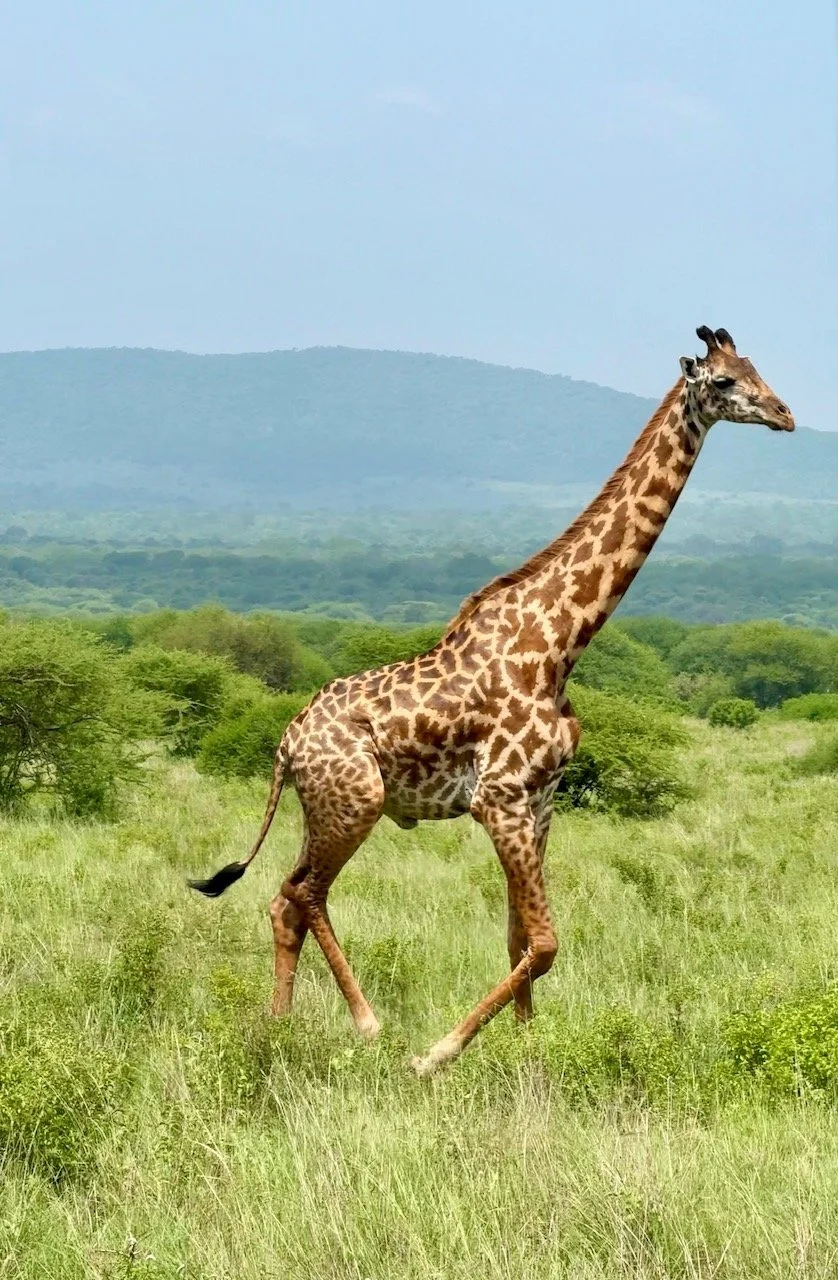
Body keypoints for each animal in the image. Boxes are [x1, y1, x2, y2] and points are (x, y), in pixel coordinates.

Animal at [190, 326, 794, 1074]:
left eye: (756, 367)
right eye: (723, 382)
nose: (785, 414)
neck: (561, 641)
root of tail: (285, 742)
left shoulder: (540, 802)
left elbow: (520, 940)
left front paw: (530, 1056)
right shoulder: (498, 799)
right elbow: (546, 942)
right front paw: (437, 1054)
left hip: (324, 808)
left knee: (284, 898)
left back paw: (277, 1025)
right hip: (355, 804)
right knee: (306, 893)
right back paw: (368, 1025)